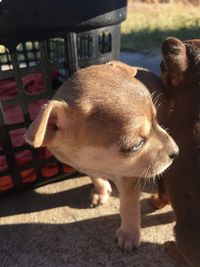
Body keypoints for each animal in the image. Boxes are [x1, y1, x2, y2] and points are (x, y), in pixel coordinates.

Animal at [25, 61, 178, 252]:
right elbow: (95, 177)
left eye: (157, 121)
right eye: (136, 145)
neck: (99, 163)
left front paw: (129, 234)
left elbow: (128, 206)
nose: (176, 151)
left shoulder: (128, 178)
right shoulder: (85, 166)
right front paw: (101, 191)